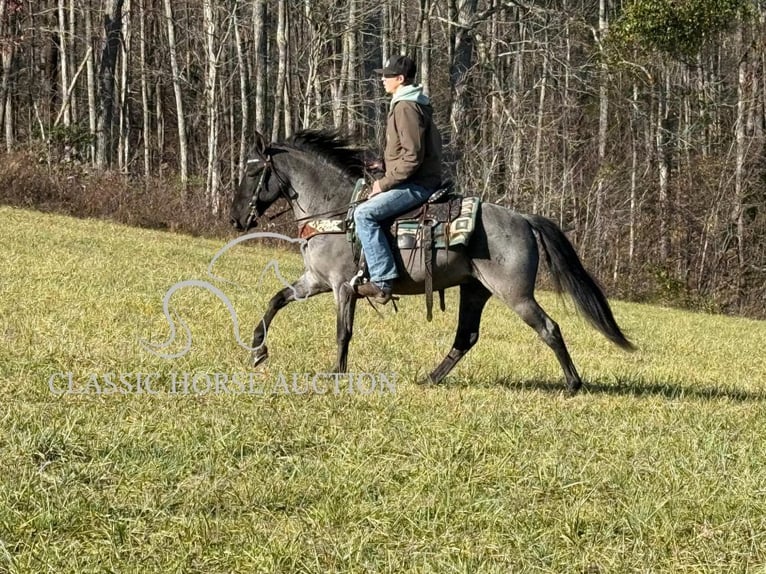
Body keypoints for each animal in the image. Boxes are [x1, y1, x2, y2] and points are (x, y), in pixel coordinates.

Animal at [230, 129, 636, 396]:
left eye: (251, 172)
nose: (235, 219)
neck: (335, 211)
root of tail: (523, 218)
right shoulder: (315, 280)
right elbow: (276, 299)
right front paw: (258, 349)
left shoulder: (343, 287)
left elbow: (343, 332)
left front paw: (337, 374)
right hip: (475, 291)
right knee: (466, 337)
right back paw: (431, 377)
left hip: (516, 295)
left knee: (549, 328)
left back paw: (573, 385)